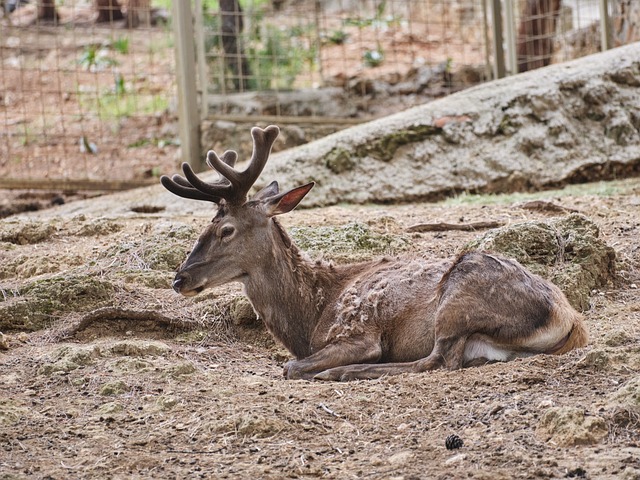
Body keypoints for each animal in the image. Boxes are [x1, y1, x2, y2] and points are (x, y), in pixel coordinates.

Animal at [161, 125, 592, 380]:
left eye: (226, 230)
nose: (180, 278)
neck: (310, 315)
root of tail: (570, 319)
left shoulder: (358, 331)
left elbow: (290, 366)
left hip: (460, 296)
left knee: (437, 361)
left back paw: (342, 373)